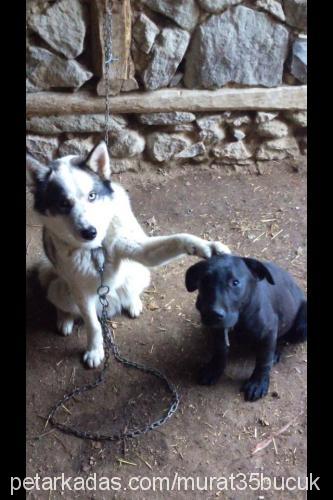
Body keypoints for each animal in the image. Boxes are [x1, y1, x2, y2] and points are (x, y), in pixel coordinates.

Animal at [26, 142, 231, 368]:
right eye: (63, 203)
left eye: (92, 196)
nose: (90, 232)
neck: (97, 249)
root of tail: (111, 304)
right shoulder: (81, 291)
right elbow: (93, 325)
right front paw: (95, 350)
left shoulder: (137, 249)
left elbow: (178, 239)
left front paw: (208, 247)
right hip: (62, 289)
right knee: (63, 303)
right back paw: (65, 319)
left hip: (138, 273)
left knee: (131, 289)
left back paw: (133, 303)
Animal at [184, 256, 306, 400]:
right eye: (204, 281)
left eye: (235, 282)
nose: (211, 314)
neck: (240, 318)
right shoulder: (219, 331)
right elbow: (220, 351)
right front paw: (213, 369)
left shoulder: (268, 331)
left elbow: (263, 360)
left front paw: (258, 383)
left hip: (302, 326)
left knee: (284, 339)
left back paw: (276, 351)